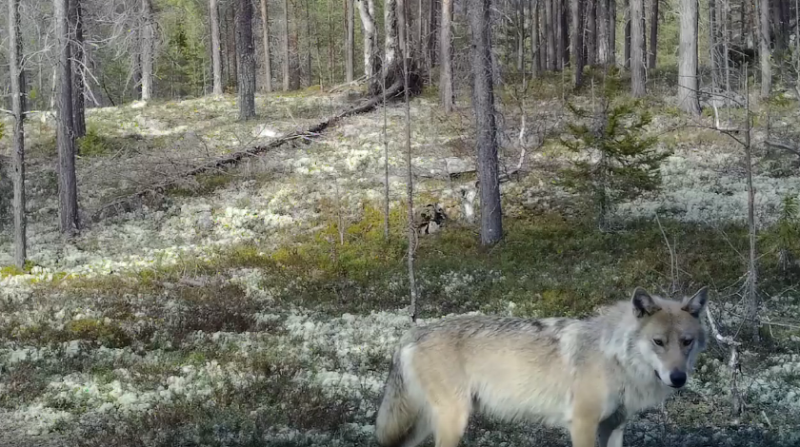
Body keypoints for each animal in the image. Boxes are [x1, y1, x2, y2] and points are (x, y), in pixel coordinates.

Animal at [374, 288, 708, 447]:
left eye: (687, 342)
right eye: (658, 342)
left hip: (423, 426)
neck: (614, 358)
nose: (678, 378)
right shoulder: (582, 425)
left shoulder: (613, 427)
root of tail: (409, 335)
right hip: (452, 421)